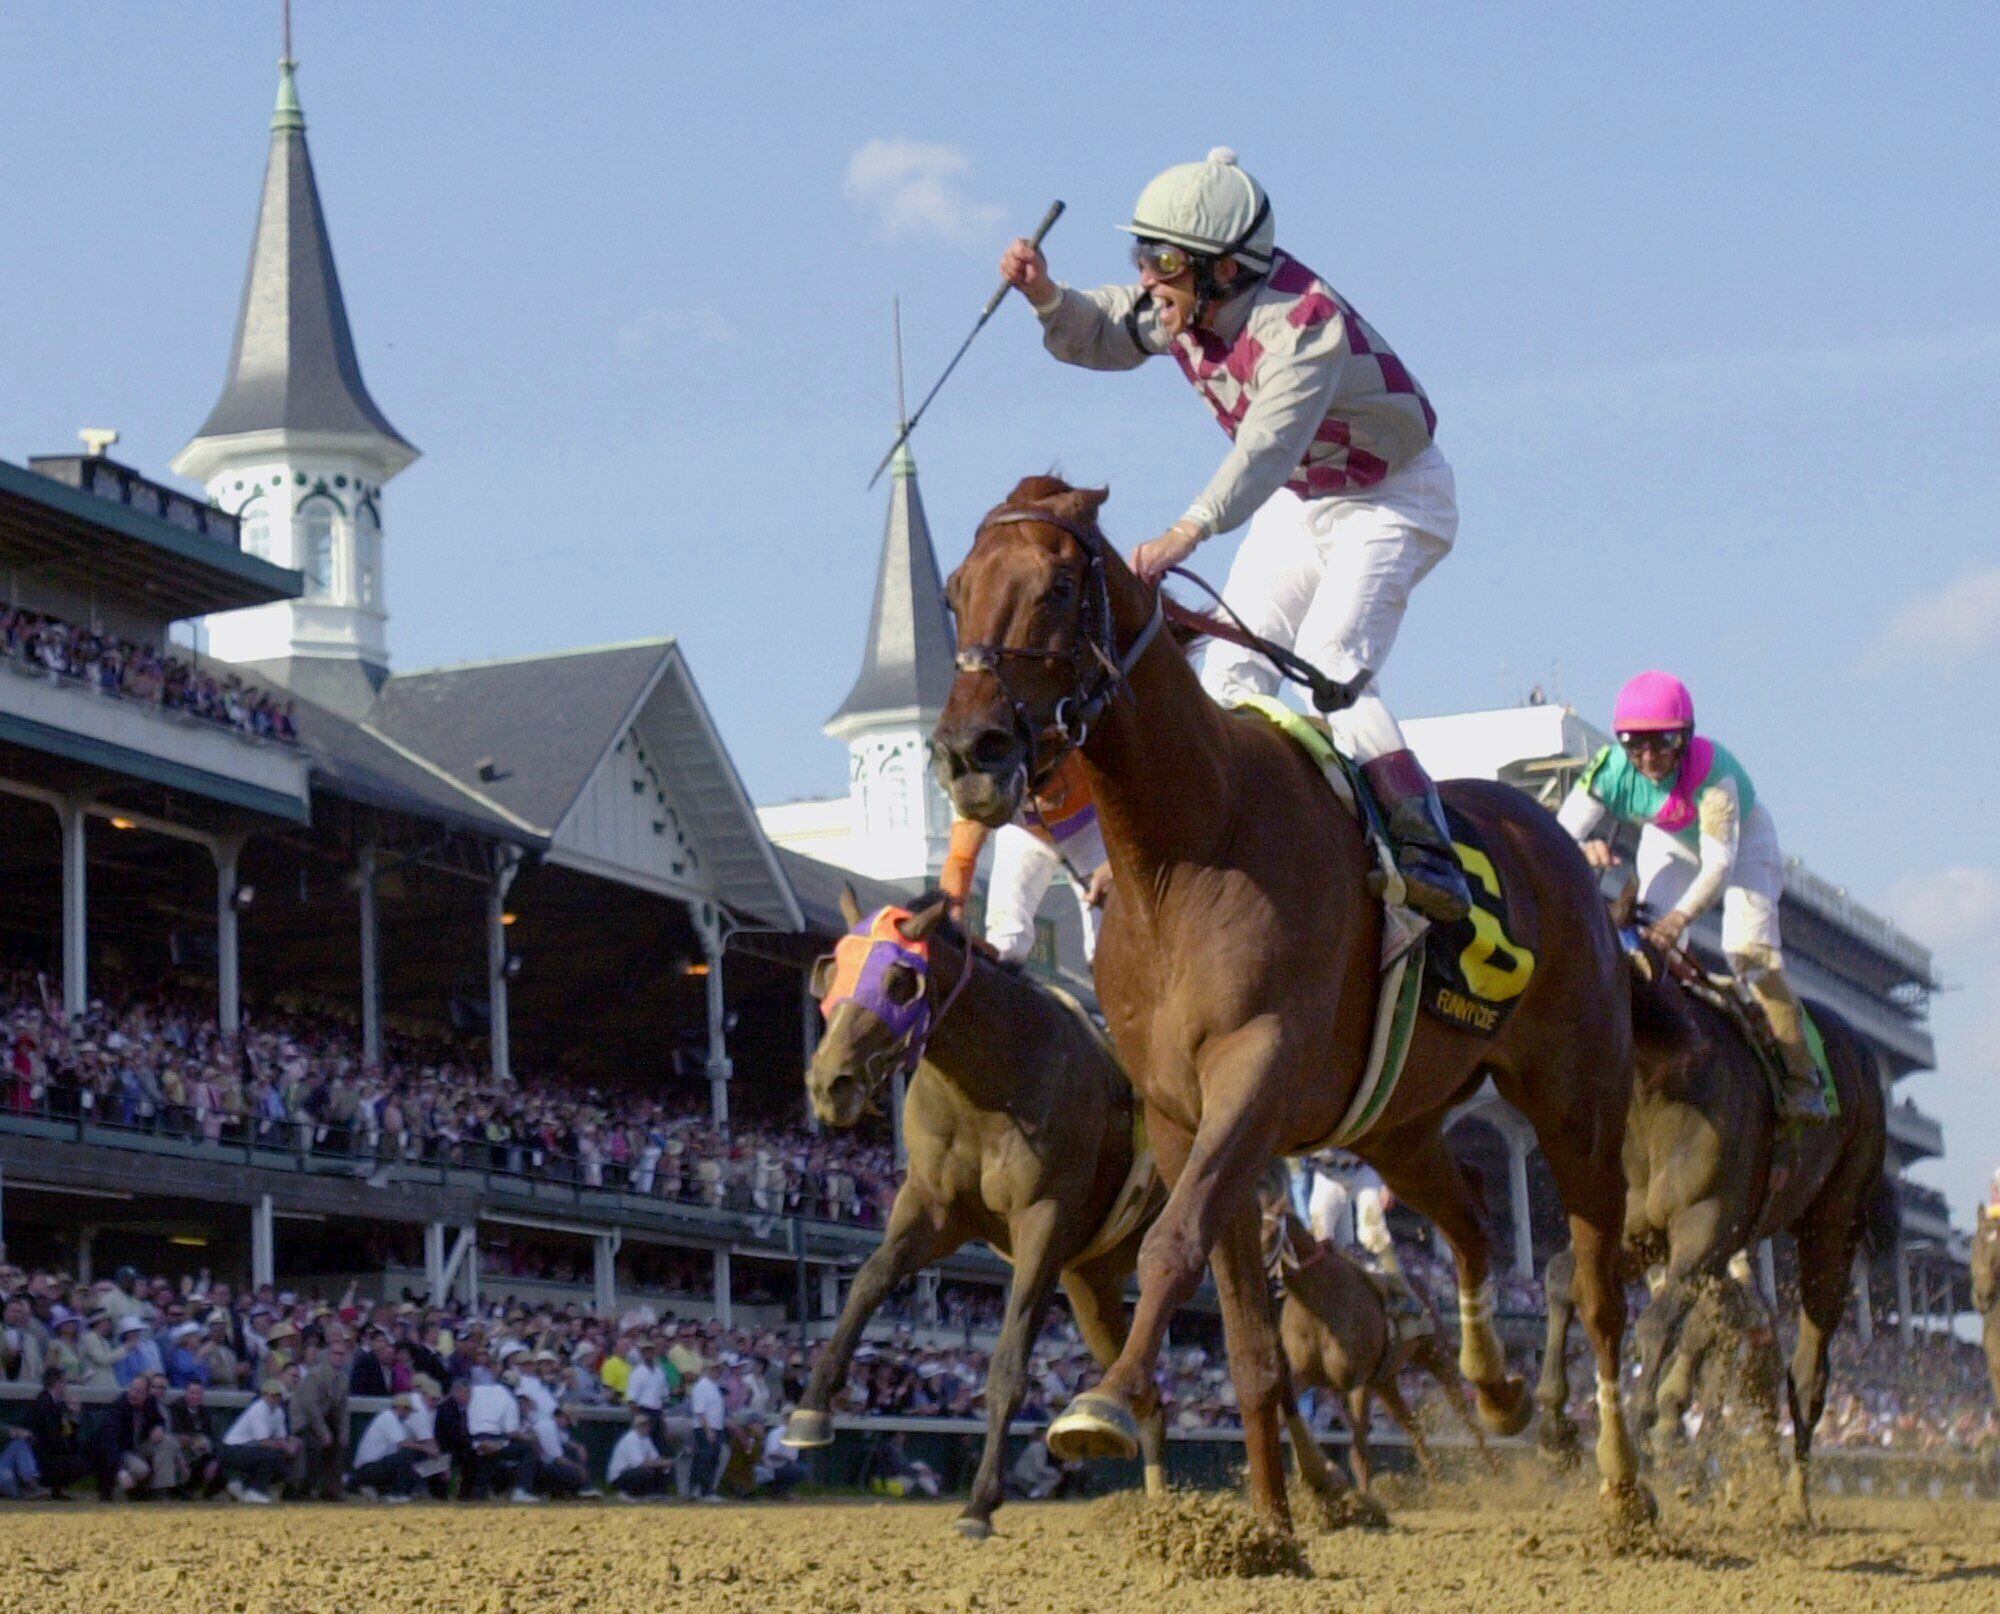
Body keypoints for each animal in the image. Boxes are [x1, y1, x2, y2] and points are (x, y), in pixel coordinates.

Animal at [1256, 1200, 1496, 1488]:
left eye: (1270, 1233)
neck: (1319, 1308)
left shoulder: (1357, 1383)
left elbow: (1359, 1454)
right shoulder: (1303, 1376)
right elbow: (1282, 1419)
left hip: (1435, 1355)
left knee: (1466, 1416)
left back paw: (1496, 1470)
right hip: (1385, 1381)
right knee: (1414, 1429)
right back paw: (1437, 1482)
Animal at [1528, 960, 1888, 1528]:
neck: (1661, 1089)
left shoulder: (1704, 1233)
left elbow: (1658, 1326)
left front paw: (1635, 1447)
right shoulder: (1636, 1233)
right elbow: (1563, 1277)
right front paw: (1555, 1430)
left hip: (1835, 1220)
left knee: (1807, 1372)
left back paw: (1796, 1500)